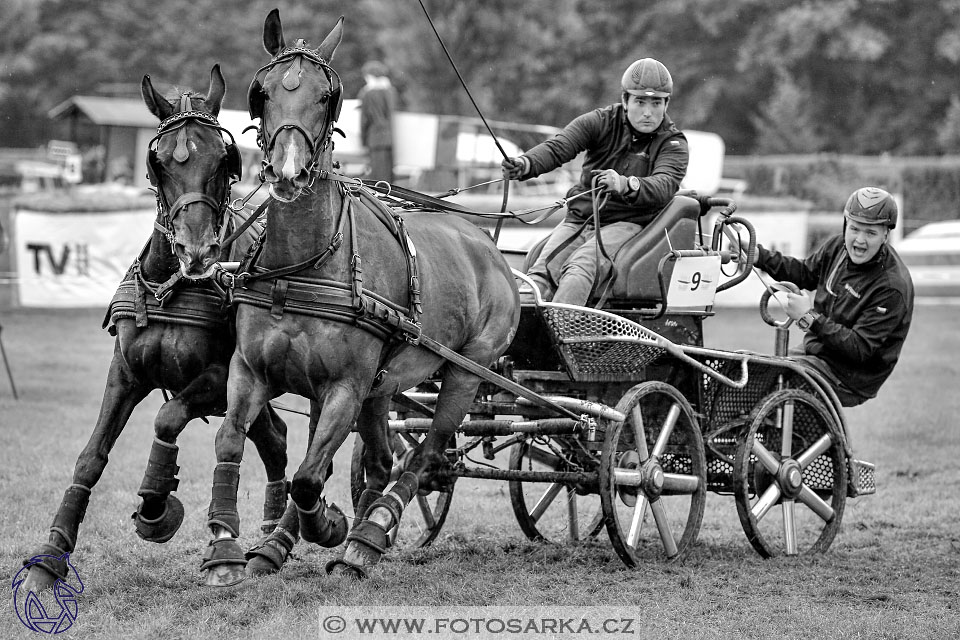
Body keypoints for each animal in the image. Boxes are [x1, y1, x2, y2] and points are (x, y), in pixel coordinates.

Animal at [199, 10, 520, 588]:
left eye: (330, 95)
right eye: (260, 92)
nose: (287, 172)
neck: (304, 266)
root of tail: (488, 244)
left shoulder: (344, 387)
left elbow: (309, 476)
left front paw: (328, 526)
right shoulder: (253, 371)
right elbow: (233, 442)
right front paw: (226, 545)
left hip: (466, 372)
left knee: (425, 456)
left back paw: (368, 536)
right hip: (382, 387)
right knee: (380, 459)